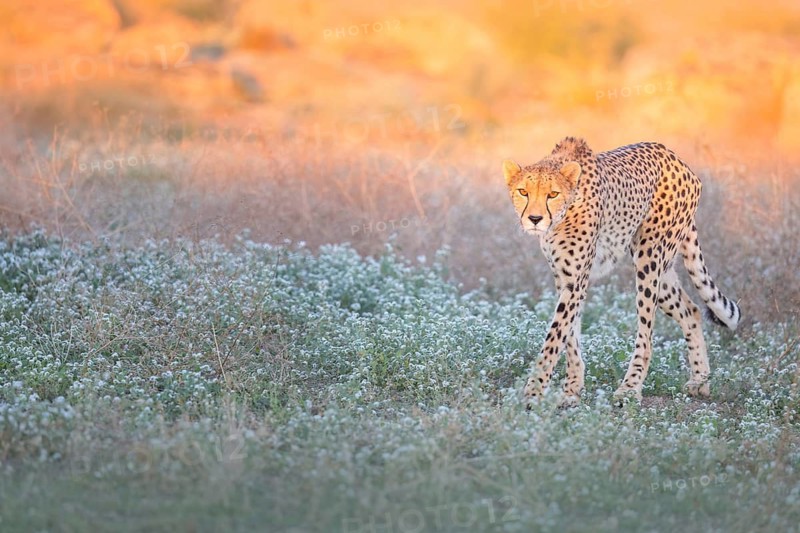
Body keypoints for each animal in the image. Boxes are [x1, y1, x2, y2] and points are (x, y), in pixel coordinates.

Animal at [502, 137, 741, 408]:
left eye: (552, 194)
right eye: (523, 192)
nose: (534, 218)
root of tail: (675, 157)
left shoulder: (576, 279)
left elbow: (555, 336)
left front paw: (533, 392)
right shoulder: (564, 278)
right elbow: (570, 334)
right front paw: (572, 389)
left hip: (649, 259)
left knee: (646, 333)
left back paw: (630, 388)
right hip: (663, 271)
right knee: (691, 310)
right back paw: (700, 381)